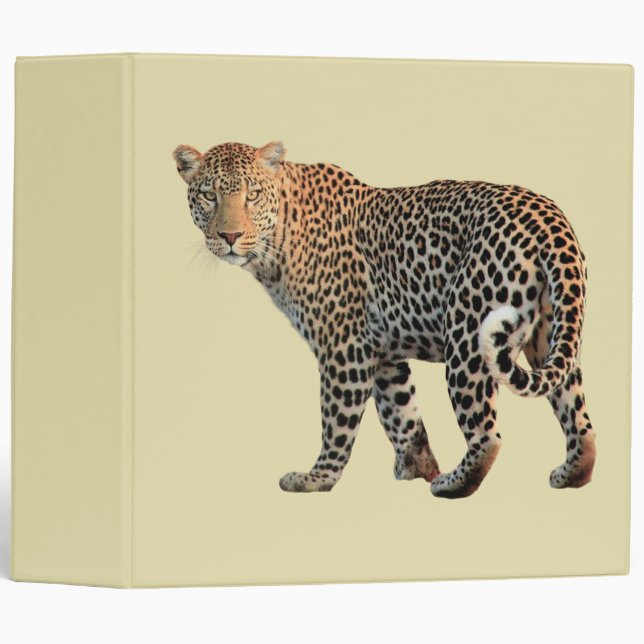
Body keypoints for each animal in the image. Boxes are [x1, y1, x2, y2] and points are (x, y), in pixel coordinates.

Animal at [172, 140, 596, 499]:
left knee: (488, 435)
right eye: (209, 196)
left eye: (252, 195)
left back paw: (452, 484)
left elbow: (337, 420)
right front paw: (416, 467)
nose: (230, 236)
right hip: (551, 334)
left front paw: (318, 478)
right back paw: (571, 474)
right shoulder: (383, 352)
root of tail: (549, 218)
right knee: (579, 418)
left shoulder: (343, 348)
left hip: (467, 335)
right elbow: (402, 413)